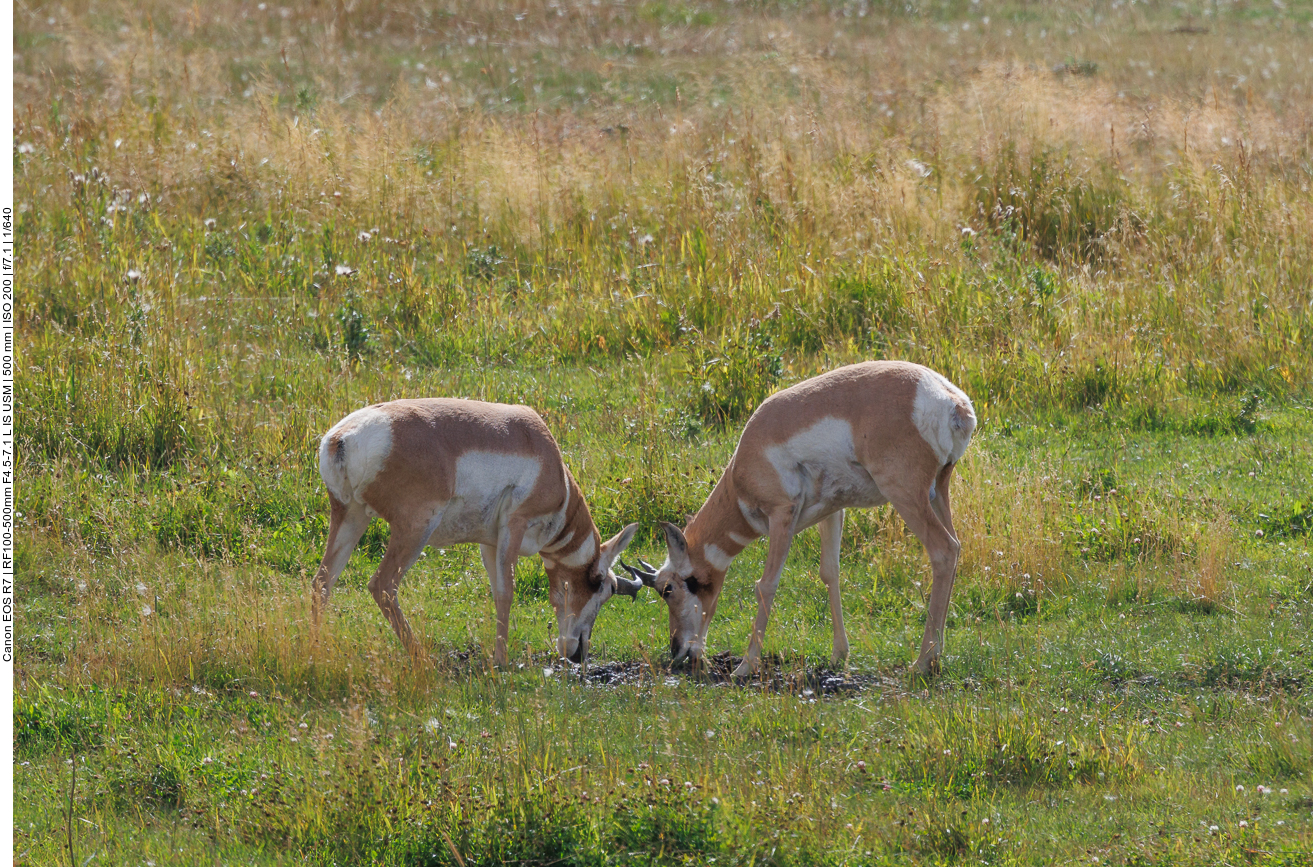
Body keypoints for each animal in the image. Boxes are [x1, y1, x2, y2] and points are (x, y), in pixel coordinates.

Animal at [317, 396, 645, 667]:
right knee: (382, 586)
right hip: (414, 529)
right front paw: (501, 661)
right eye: (601, 586)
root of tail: (344, 437)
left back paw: (317, 650)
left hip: (351, 517)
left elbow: (497, 590)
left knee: (322, 581)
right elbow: (506, 592)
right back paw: (421, 656)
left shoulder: (490, 543)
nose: (578, 654)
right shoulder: (514, 525)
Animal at [622, 359, 976, 677]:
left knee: (943, 550)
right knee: (956, 547)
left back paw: (922, 663)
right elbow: (830, 573)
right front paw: (839, 655)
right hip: (938, 491)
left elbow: (766, 585)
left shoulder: (782, 516)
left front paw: (744, 667)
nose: (678, 650)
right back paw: (936, 657)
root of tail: (951, 399)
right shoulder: (833, 512)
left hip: (905, 494)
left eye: (668, 589)